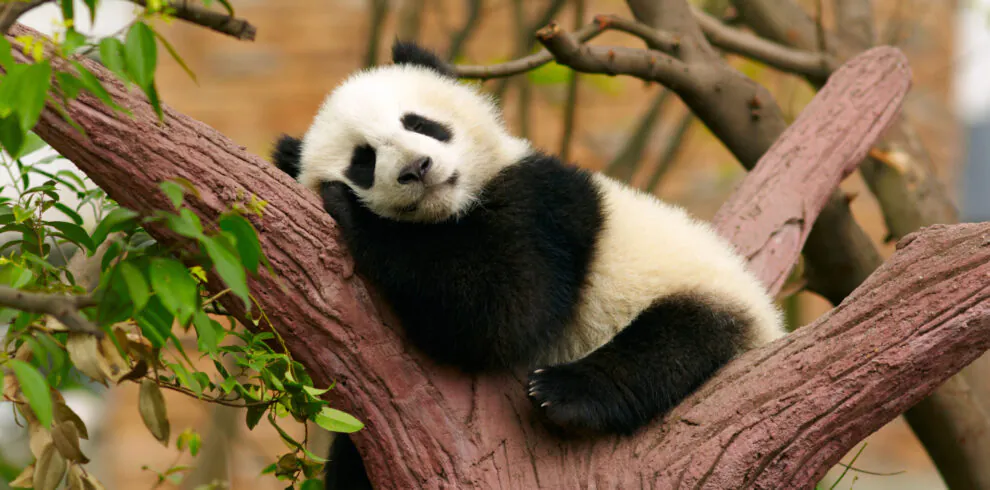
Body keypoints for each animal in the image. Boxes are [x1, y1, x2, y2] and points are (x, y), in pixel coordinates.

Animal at [273, 40, 785, 484]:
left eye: (419, 123)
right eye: (363, 160)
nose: (417, 168)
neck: (451, 210)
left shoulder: (542, 205)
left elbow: (503, 310)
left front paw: (352, 211)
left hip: (703, 291)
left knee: (673, 342)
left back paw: (565, 393)